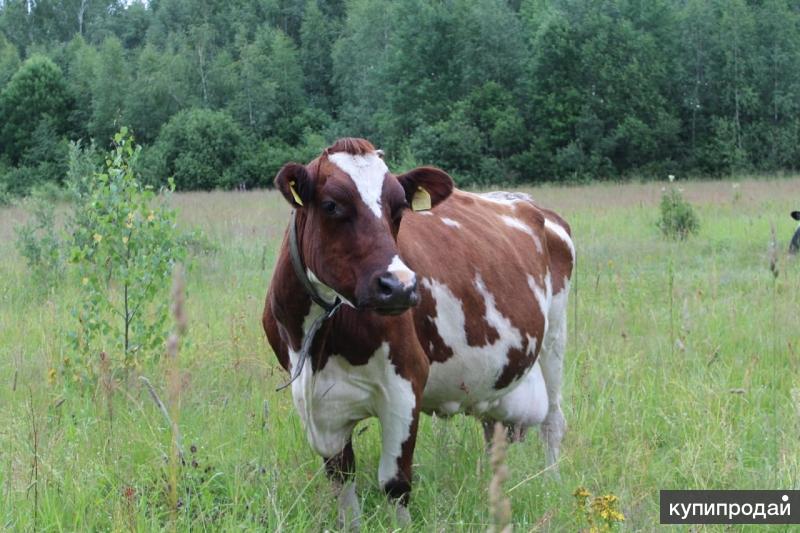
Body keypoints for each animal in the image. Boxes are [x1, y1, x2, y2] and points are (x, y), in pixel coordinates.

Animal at [264, 137, 576, 528]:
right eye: (332, 205)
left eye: (399, 208)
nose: (399, 287)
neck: (321, 342)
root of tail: (527, 202)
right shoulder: (317, 402)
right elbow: (342, 481)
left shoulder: (404, 382)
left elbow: (395, 483)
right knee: (494, 434)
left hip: (555, 340)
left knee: (553, 422)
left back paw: (552, 484)